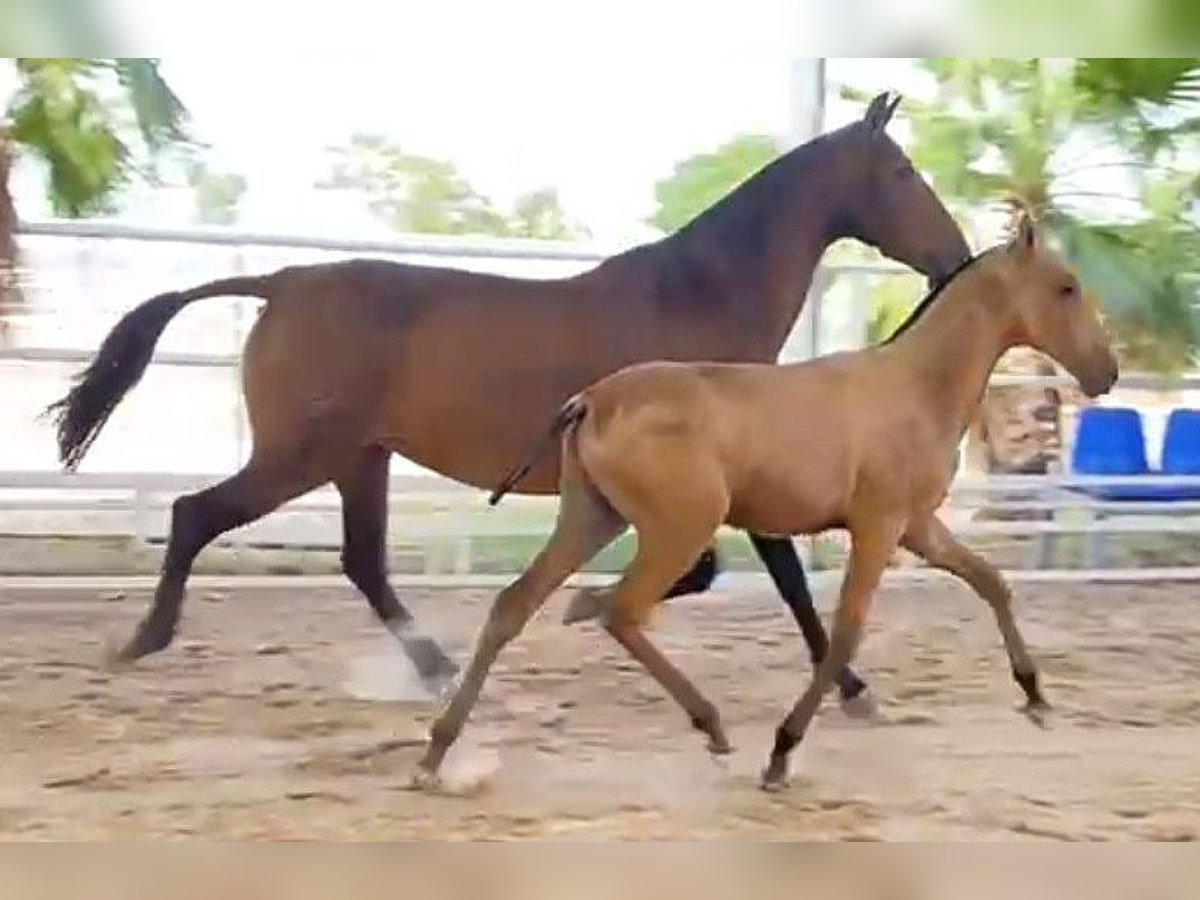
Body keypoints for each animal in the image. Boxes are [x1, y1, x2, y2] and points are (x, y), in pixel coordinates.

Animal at [44, 91, 974, 700]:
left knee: (362, 562)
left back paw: (436, 669)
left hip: (360, 459)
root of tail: (279, 283)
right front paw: (850, 685)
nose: (957, 259)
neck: (698, 296)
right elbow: (757, 573)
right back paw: (144, 640)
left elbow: (736, 572)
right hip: (301, 458)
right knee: (197, 515)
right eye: (899, 170)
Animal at [417, 214, 1118, 792]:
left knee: (514, 606)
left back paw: (437, 752)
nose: (1106, 372)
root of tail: (590, 399)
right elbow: (845, 631)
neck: (915, 387)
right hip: (678, 527)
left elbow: (991, 580)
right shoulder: (879, 524)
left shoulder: (917, 526)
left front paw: (1035, 696)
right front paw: (782, 752)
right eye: (1065, 287)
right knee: (622, 610)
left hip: (593, 518)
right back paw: (710, 723)